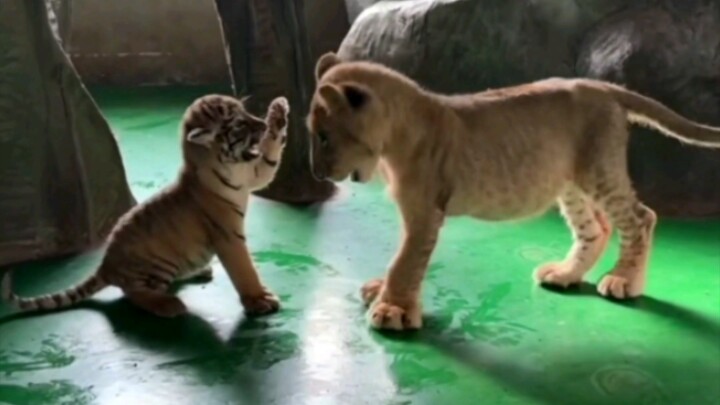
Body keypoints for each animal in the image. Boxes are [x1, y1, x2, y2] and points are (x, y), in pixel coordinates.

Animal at [1, 94, 291, 318]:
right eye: (239, 124)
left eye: (246, 112)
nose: (261, 123)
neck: (228, 166)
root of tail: (105, 266)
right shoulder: (228, 235)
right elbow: (244, 269)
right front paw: (259, 300)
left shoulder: (253, 173)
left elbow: (269, 158)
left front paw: (278, 112)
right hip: (155, 266)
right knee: (134, 293)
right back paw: (168, 305)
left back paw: (199, 271)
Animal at [305, 51, 720, 331]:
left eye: (323, 137)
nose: (316, 171)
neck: (396, 134)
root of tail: (604, 86)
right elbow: (406, 260)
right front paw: (386, 294)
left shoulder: (425, 211)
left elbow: (406, 261)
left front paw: (392, 309)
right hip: (570, 181)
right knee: (597, 228)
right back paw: (565, 273)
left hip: (599, 169)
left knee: (640, 218)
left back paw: (623, 281)